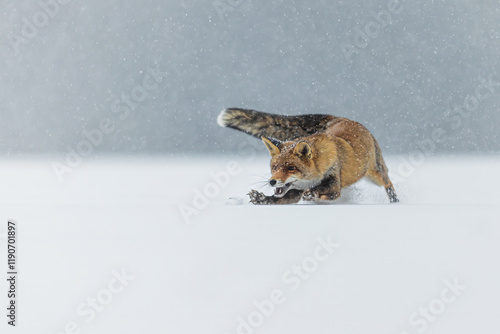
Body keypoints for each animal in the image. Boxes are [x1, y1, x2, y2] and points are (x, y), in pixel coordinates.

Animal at [216, 108, 398, 205]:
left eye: (291, 168)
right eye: (274, 167)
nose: (272, 181)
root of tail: (341, 119)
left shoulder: (334, 184)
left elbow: (323, 191)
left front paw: (313, 195)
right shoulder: (295, 192)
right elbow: (279, 199)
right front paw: (262, 198)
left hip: (375, 174)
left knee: (388, 182)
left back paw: (395, 200)